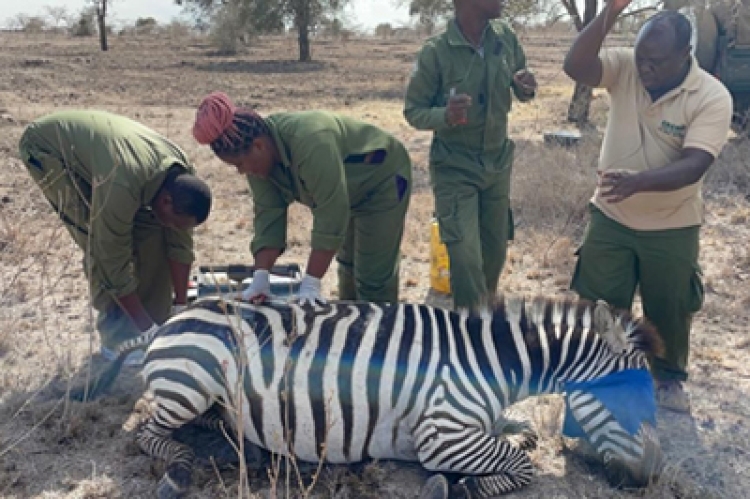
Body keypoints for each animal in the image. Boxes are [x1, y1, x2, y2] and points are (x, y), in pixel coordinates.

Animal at [81, 294, 664, 498]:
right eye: (631, 401)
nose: (650, 481)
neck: (490, 362)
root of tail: (170, 317)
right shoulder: (440, 435)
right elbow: (519, 466)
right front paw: (458, 488)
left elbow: (517, 437)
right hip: (191, 382)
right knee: (148, 432)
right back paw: (181, 469)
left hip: (210, 398)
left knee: (206, 424)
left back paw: (232, 445)